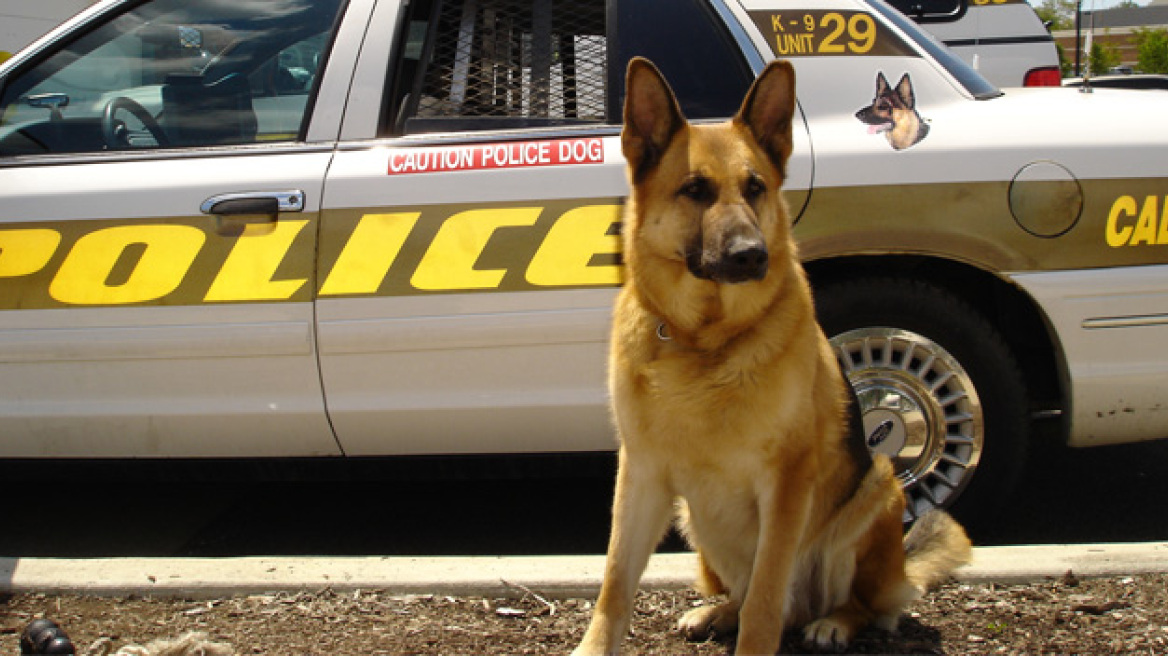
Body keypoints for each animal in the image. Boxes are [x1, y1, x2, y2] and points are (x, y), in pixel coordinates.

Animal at [569, 57, 971, 653]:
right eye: (694, 189)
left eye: (755, 187)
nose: (750, 254)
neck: (703, 340)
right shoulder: (639, 475)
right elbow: (615, 580)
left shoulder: (785, 485)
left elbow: (765, 598)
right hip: (697, 523)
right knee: (755, 596)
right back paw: (715, 612)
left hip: (876, 491)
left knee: (850, 606)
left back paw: (833, 622)